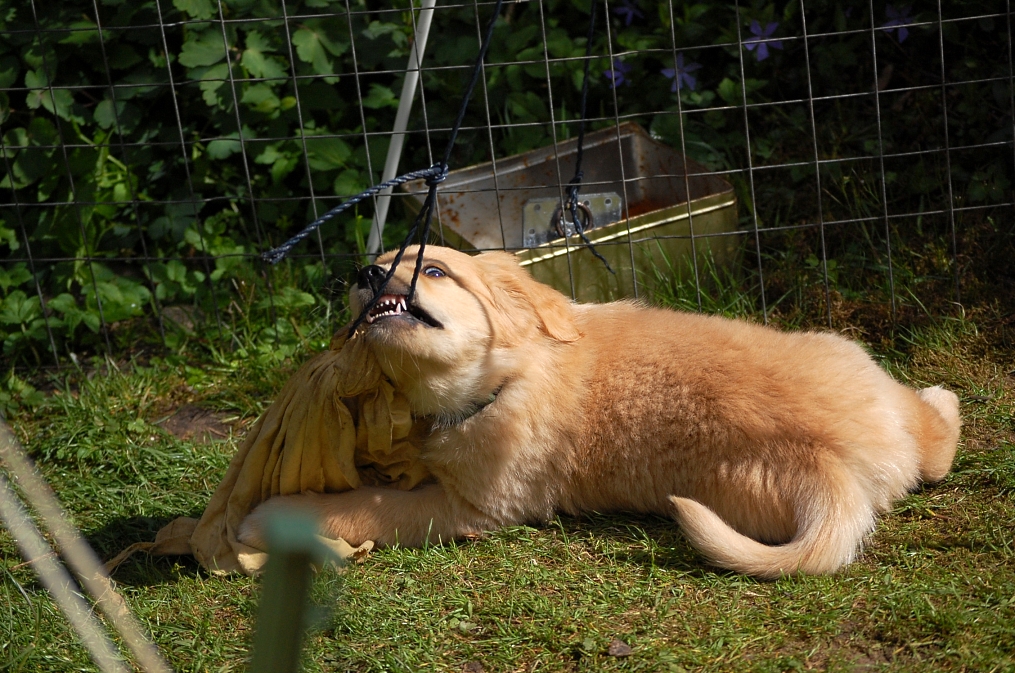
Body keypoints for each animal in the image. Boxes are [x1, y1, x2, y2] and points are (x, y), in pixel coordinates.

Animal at [239, 245, 960, 578]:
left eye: (434, 272)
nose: (362, 273)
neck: (509, 370)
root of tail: (838, 462)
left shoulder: (473, 507)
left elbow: (366, 503)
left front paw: (274, 516)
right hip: (846, 354)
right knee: (937, 440)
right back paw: (939, 401)